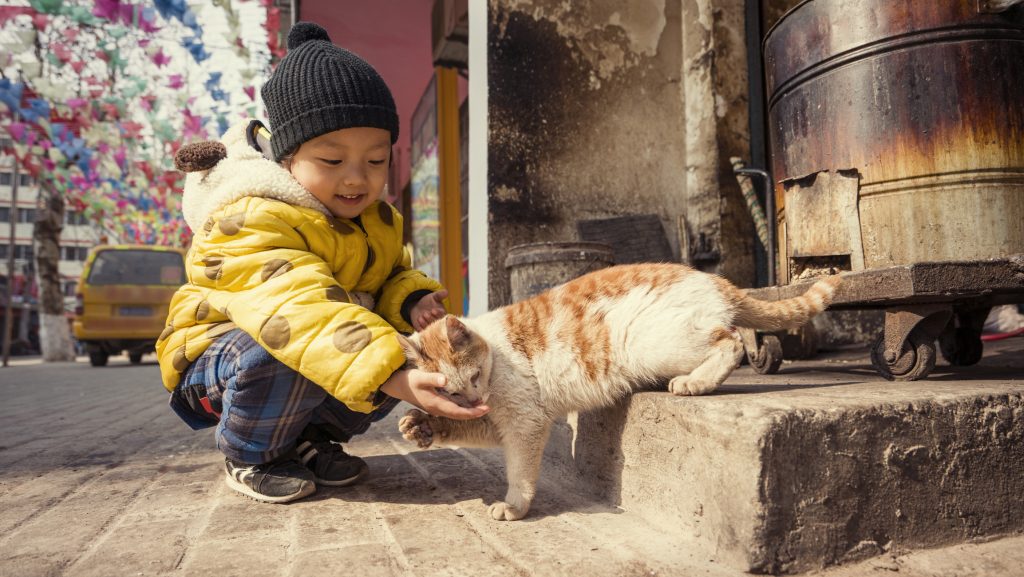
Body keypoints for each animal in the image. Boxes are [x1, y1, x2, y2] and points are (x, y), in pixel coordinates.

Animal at [395, 264, 835, 520]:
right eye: (453, 393)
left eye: (473, 378)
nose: (473, 400)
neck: (495, 352)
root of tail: (712, 278)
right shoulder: (497, 421)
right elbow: (460, 425)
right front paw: (421, 425)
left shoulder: (525, 421)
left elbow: (519, 471)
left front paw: (515, 506)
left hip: (655, 343)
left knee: (732, 342)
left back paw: (694, 382)